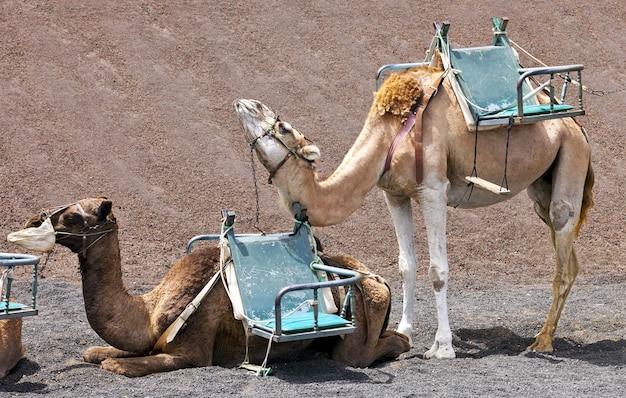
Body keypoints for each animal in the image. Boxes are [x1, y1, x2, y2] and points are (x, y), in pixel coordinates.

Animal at [17, 197, 408, 378]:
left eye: (71, 217)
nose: (34, 220)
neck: (150, 309)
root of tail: (377, 277)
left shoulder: (193, 351)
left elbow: (120, 365)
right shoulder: (149, 339)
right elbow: (96, 353)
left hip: (360, 322)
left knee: (367, 352)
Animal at [232, 51, 592, 360]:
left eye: (283, 127)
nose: (245, 102)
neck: (391, 133)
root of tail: (577, 125)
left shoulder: (433, 190)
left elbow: (438, 270)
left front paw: (442, 347)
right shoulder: (394, 194)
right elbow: (407, 265)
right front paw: (402, 331)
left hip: (570, 157)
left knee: (563, 243)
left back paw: (542, 341)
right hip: (541, 186)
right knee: (570, 256)